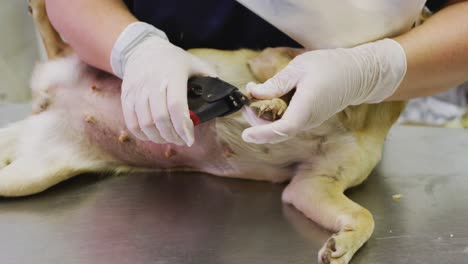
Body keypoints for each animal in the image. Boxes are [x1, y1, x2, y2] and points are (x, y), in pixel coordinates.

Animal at [0, 1, 406, 262]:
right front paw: (274, 105)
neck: (360, 112)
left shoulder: (312, 185)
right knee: (53, 36)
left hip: (29, 176)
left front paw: (343, 244)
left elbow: (364, 217)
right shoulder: (269, 59)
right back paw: (37, 5)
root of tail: (46, 99)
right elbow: (283, 82)